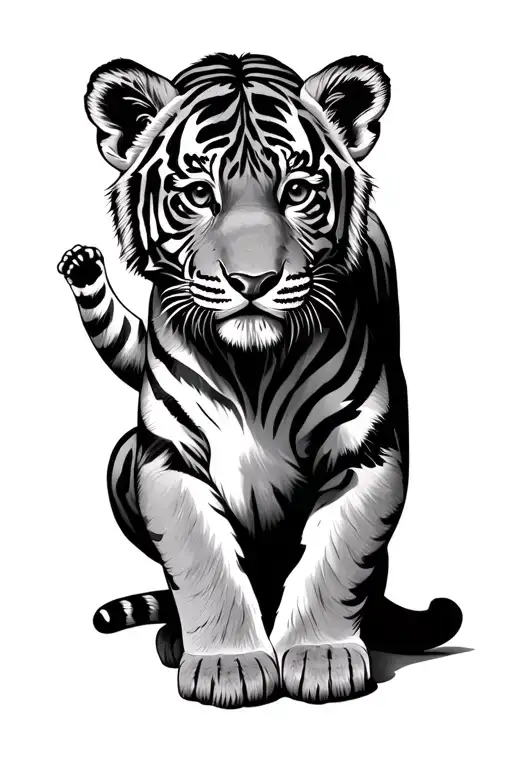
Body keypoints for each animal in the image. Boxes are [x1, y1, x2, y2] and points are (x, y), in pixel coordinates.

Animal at [58, 53, 462, 708]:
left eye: (297, 191)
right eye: (199, 194)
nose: (253, 281)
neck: (253, 368)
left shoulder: (367, 454)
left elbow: (336, 559)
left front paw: (323, 658)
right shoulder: (166, 458)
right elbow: (200, 561)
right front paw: (228, 666)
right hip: (123, 457)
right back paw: (175, 638)